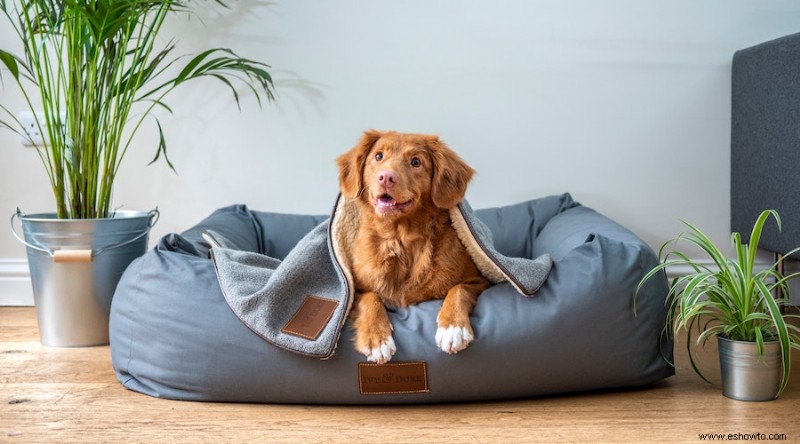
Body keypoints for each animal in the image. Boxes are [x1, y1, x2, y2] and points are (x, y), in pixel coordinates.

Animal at [334, 129, 490, 364]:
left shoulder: (480, 280)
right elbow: (371, 297)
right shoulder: (353, 291)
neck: (400, 239)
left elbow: (459, 289)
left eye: (416, 162)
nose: (386, 177)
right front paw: (377, 339)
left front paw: (453, 328)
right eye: (378, 156)